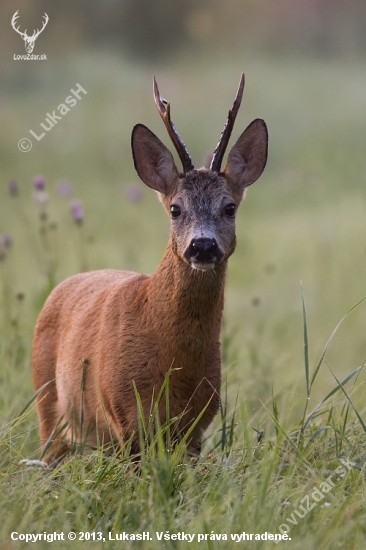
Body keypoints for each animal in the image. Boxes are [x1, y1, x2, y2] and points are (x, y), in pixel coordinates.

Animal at [32, 74, 266, 466]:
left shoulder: (197, 425)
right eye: (175, 208)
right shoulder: (124, 413)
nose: (203, 245)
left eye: (229, 207)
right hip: (46, 402)